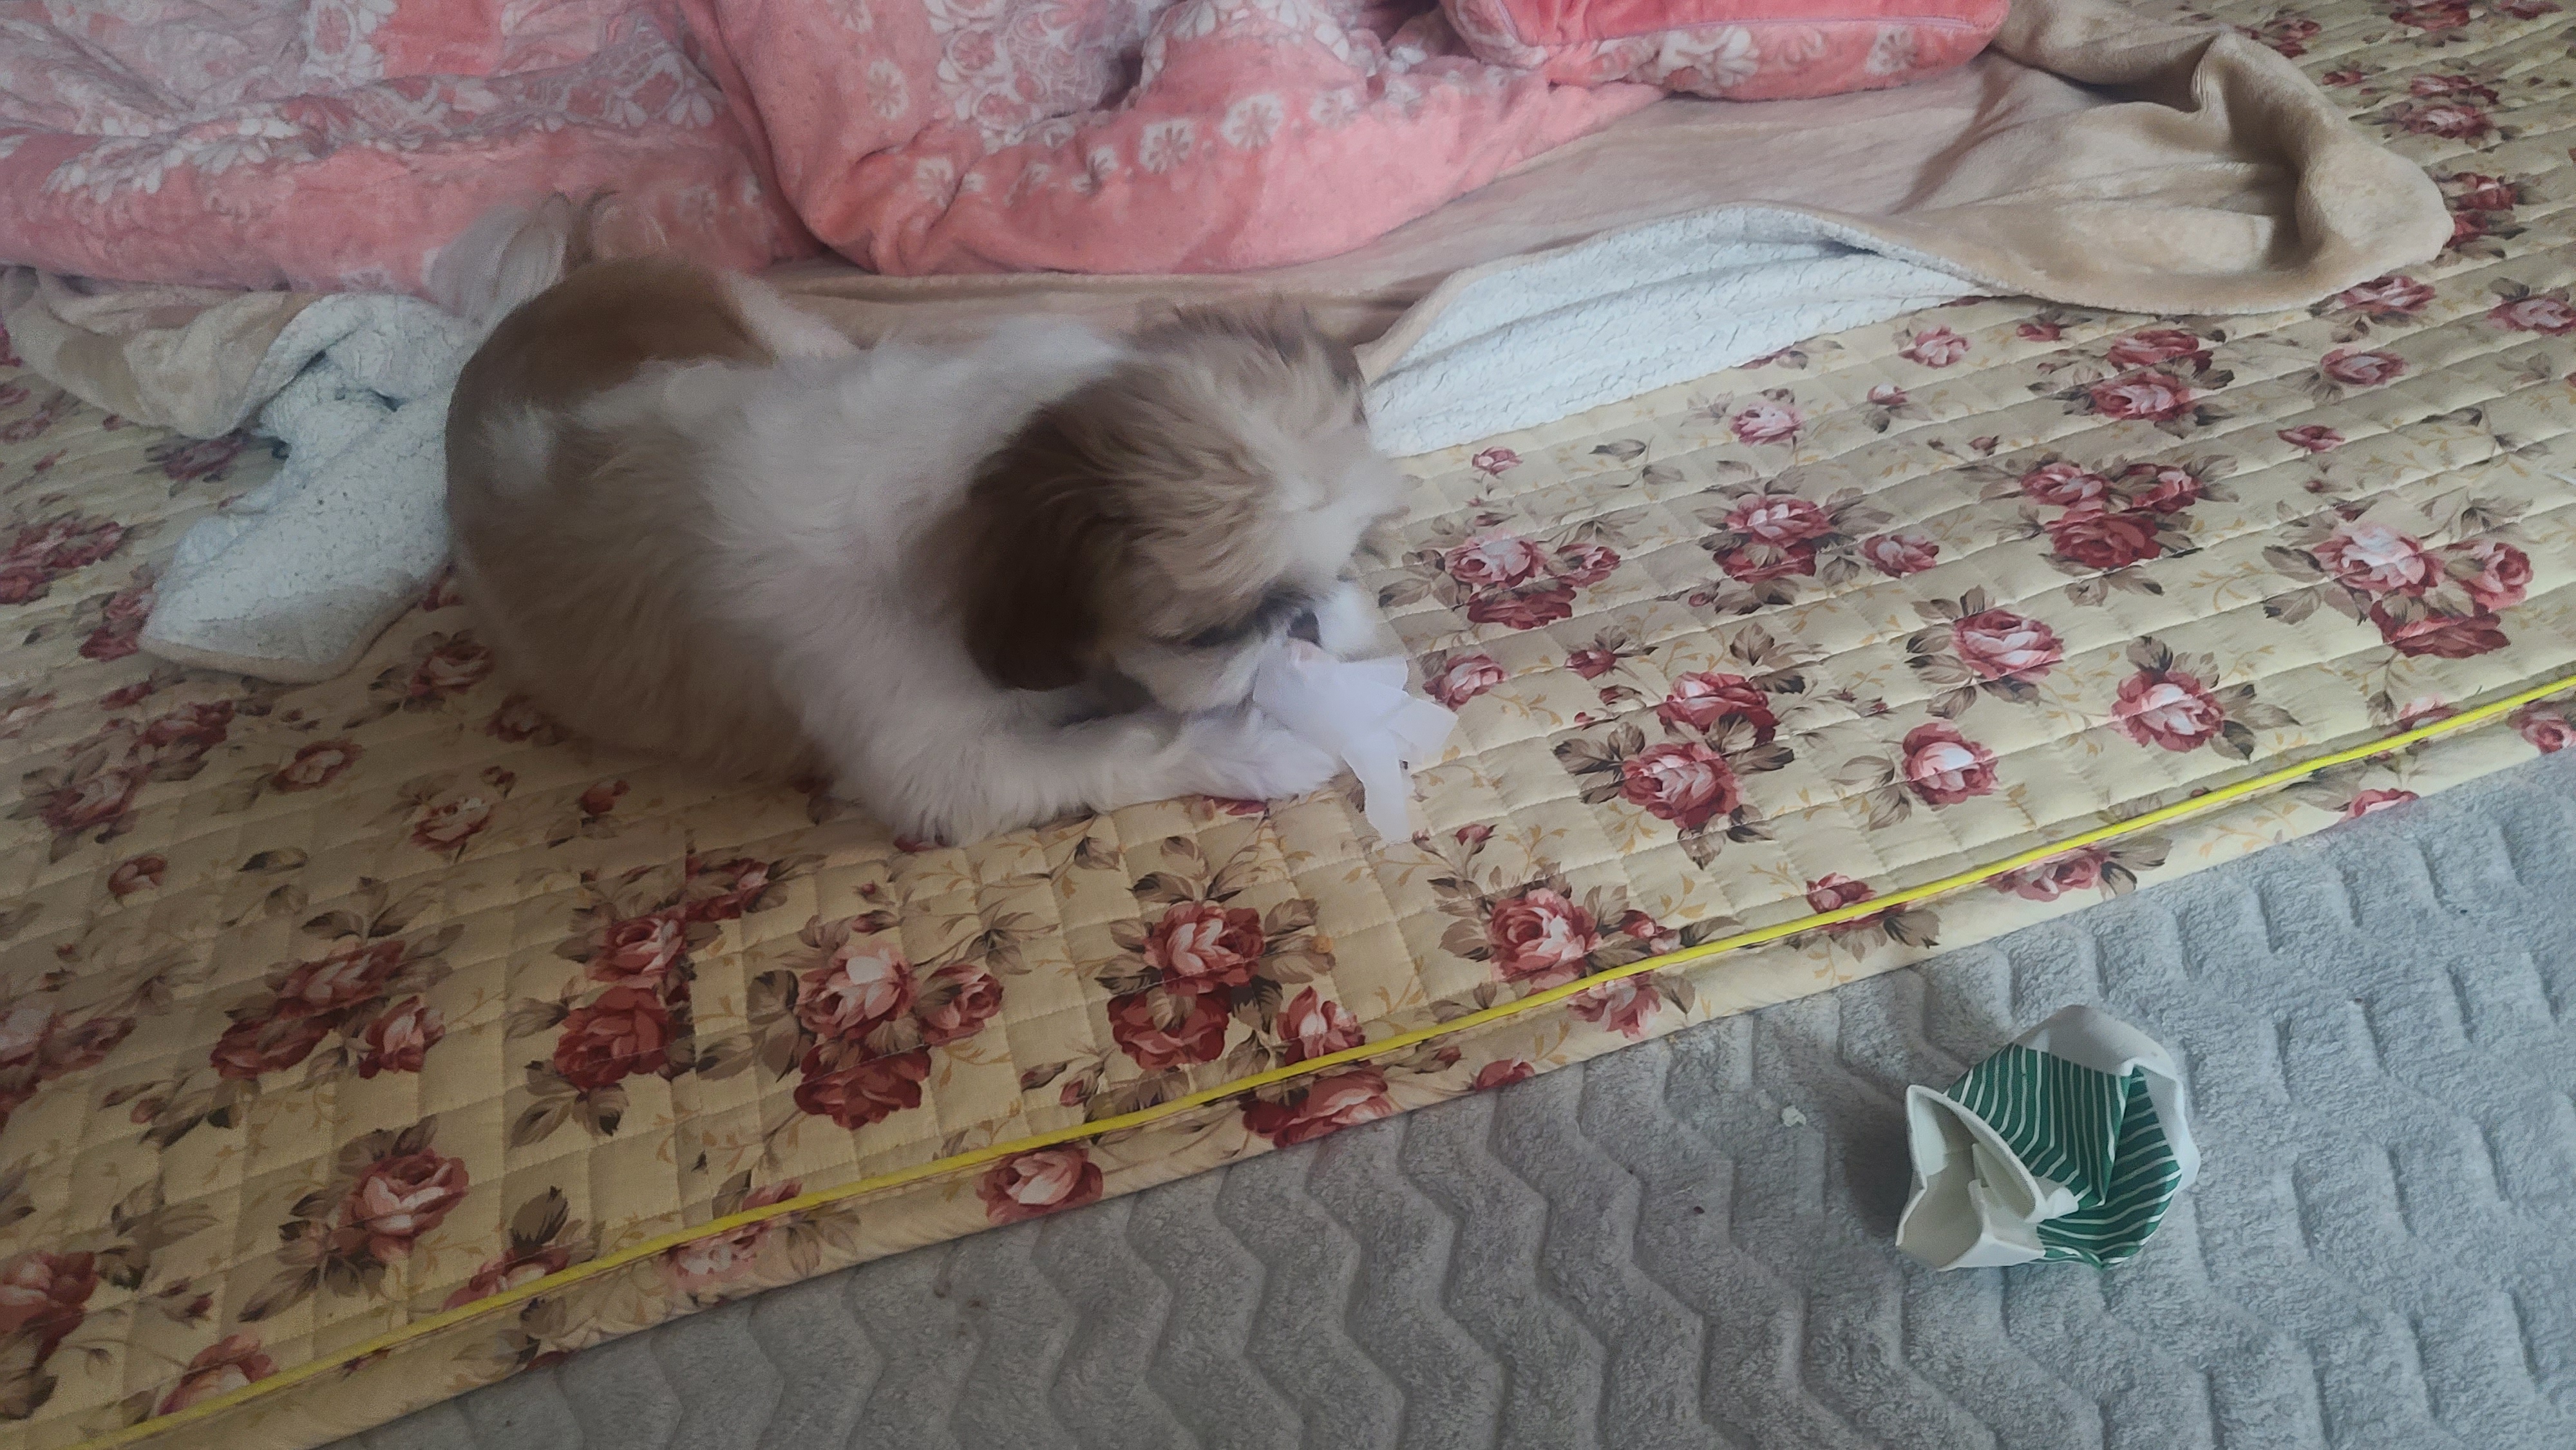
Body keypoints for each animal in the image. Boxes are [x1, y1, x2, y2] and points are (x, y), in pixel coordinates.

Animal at [440, 200, 1398, 844]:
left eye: (1348, 562)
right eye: (1211, 634)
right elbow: (1132, 743)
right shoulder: (942, 770)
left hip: (780, 327)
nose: (1308, 620)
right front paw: (1262, 742)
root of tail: (521, 309)